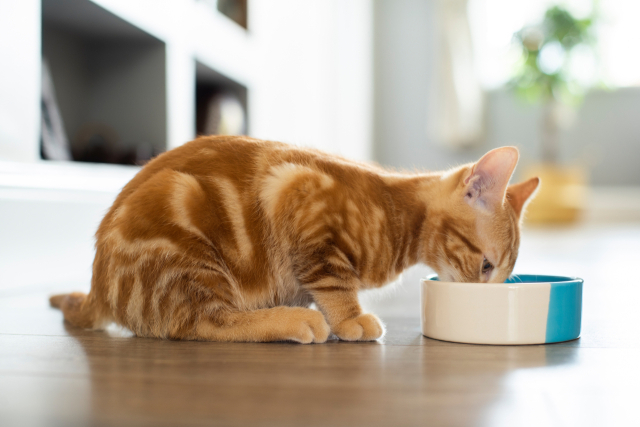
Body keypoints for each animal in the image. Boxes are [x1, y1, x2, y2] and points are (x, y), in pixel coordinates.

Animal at [51, 137, 540, 344]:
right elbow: (335, 285)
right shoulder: (301, 200)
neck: (397, 211)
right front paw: (350, 320)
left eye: (501, 276)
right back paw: (292, 321)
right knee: (204, 323)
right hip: (187, 240)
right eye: (486, 266)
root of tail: (97, 284)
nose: (484, 296)